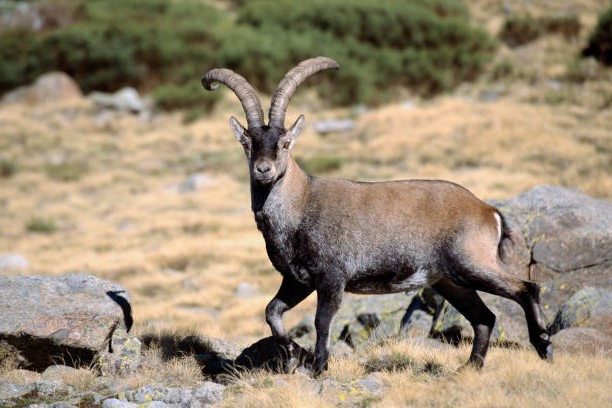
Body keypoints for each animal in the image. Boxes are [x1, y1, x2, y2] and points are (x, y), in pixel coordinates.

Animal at [202, 55, 556, 374]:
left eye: (286, 143)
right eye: (247, 144)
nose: (264, 170)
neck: (301, 205)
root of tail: (487, 210)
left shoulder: (332, 276)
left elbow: (321, 321)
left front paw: (319, 368)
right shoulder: (297, 280)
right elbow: (272, 311)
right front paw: (290, 355)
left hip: (472, 263)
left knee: (526, 289)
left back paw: (544, 345)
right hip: (450, 280)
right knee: (485, 318)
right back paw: (469, 368)